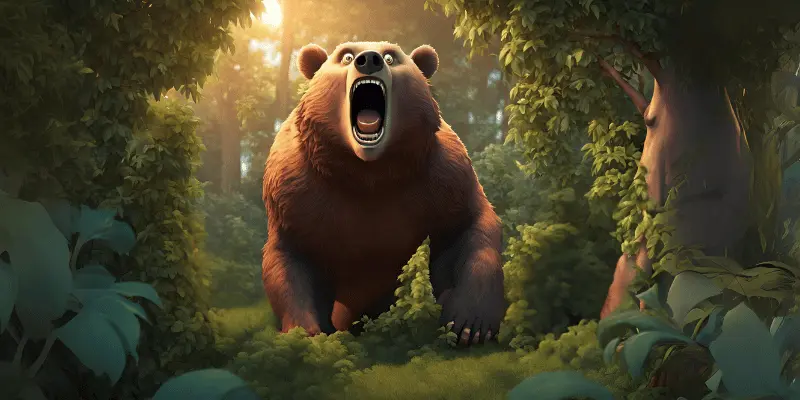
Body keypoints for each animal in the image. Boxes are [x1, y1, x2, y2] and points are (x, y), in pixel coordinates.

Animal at [261, 41, 506, 346]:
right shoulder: (294, 191)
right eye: (346, 55)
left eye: (391, 56)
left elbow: (474, 227)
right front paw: (306, 333)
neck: (370, 173)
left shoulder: (445, 178)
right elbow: (287, 257)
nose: (370, 59)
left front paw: (470, 326)